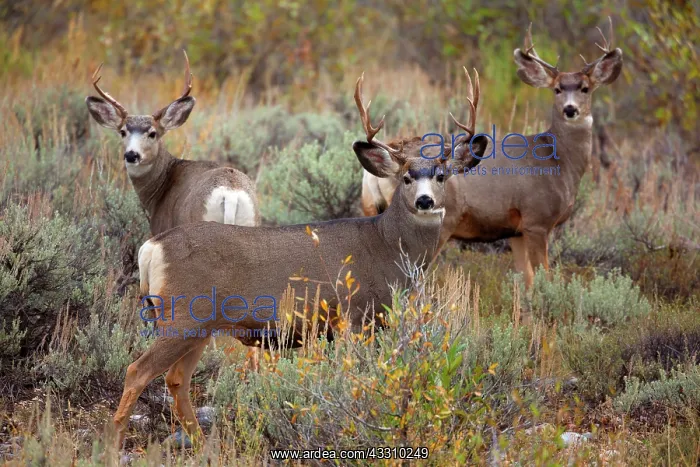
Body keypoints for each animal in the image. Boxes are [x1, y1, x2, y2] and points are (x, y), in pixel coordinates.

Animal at [110, 71, 488, 450]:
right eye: (407, 177)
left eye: (441, 176)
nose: (425, 201)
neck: (386, 247)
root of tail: (152, 247)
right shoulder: (353, 316)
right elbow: (354, 379)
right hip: (183, 315)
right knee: (137, 371)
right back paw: (114, 444)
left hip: (198, 323)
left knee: (176, 379)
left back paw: (203, 445)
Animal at [359, 17, 623, 289]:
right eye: (558, 89)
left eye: (585, 88)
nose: (571, 109)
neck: (558, 161)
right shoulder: (536, 220)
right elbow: (543, 280)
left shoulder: (516, 231)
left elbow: (527, 282)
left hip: (370, 209)